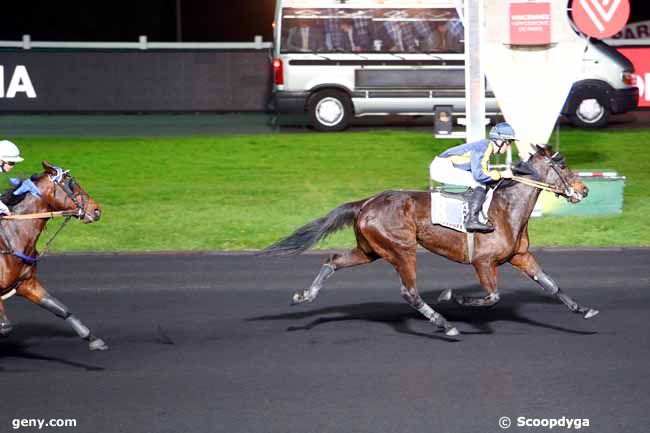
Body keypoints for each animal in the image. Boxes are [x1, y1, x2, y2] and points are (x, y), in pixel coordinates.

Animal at [0, 160, 106, 350]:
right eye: (71, 184)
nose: (96, 210)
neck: (10, 238)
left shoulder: (27, 284)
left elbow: (60, 308)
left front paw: (92, 339)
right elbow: (5, 327)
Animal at [262, 145, 596, 338]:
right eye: (562, 165)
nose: (584, 190)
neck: (507, 208)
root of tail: (366, 203)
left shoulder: (520, 256)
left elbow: (551, 285)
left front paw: (583, 309)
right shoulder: (483, 261)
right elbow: (492, 296)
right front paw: (454, 297)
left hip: (369, 250)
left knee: (332, 261)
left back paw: (305, 295)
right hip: (402, 248)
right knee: (409, 292)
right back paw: (445, 324)